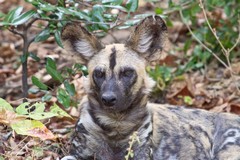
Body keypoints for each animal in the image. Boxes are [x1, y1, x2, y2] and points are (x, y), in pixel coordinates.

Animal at [60, 15, 240, 160]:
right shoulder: (76, 154)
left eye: (127, 72)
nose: (108, 99)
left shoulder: (141, 154)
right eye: (99, 73)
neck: (115, 123)